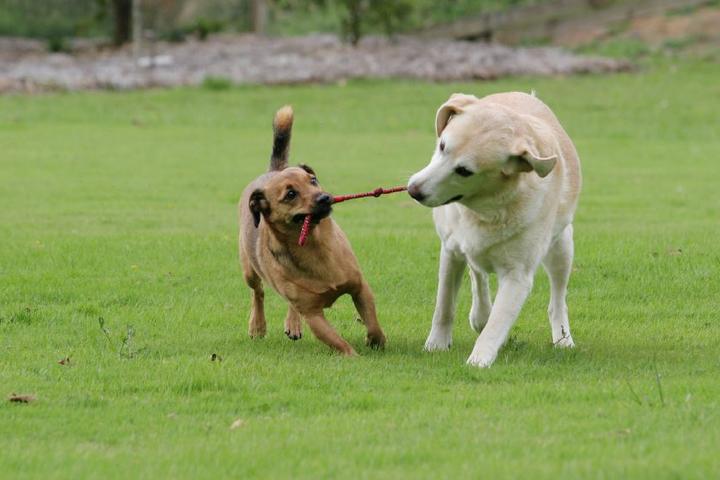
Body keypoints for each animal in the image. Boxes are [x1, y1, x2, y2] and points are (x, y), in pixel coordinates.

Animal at [239, 107, 386, 354]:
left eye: (313, 180)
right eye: (291, 194)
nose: (324, 198)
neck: (313, 246)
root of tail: (274, 170)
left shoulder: (360, 287)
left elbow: (373, 322)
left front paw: (376, 341)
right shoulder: (313, 314)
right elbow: (339, 342)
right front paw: (354, 356)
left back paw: (292, 324)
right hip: (249, 269)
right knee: (257, 292)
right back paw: (257, 325)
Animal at [408, 91, 584, 368]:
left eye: (464, 171)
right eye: (442, 146)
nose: (414, 191)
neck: (485, 209)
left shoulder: (517, 276)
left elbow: (496, 325)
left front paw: (478, 361)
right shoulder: (451, 251)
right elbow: (444, 305)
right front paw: (436, 345)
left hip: (562, 248)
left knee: (557, 299)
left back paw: (562, 337)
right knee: (477, 275)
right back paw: (480, 314)